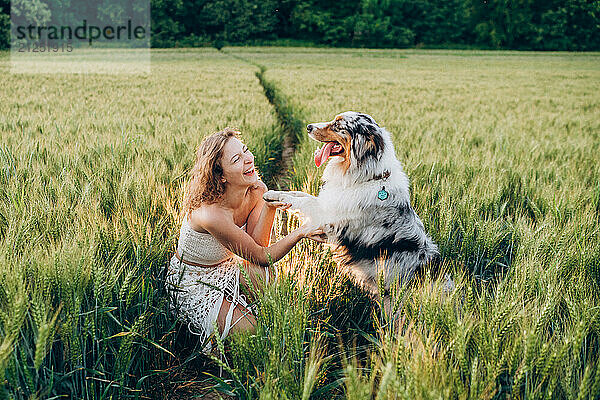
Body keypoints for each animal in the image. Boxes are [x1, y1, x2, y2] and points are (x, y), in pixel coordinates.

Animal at [264, 111, 442, 314]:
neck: (368, 176)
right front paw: (274, 194)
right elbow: (299, 193)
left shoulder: (328, 217)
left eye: (338, 125)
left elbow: (303, 200)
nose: (308, 127)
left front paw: (274, 195)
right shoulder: (329, 202)